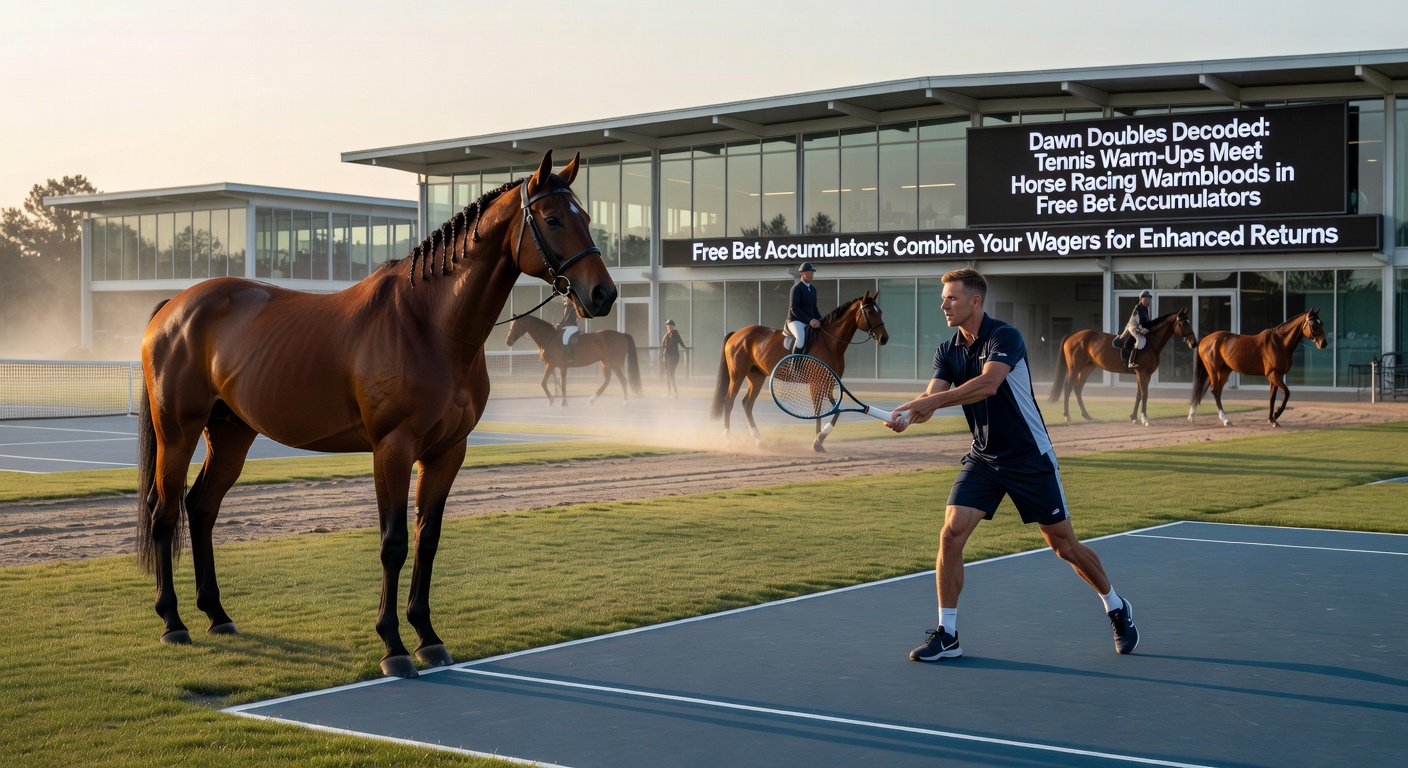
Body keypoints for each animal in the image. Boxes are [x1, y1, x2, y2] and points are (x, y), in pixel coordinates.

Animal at [135, 151, 615, 679]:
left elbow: (427, 539)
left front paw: (428, 637)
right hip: (177, 432)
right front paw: (394, 646)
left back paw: (217, 615)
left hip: (230, 435)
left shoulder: (448, 452)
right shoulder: (393, 448)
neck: (431, 325)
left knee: (201, 508)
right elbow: (393, 542)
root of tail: (174, 307)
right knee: (163, 512)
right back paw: (173, 622)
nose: (602, 294)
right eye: (552, 219)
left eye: (585, 216)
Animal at [505, 314, 642, 405]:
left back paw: (618, 401)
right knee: (612, 380)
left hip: (612, 363)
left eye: (515, 325)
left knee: (618, 380)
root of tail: (621, 334)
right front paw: (561, 401)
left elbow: (545, 382)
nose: (508, 341)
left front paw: (555, 400)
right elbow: (559, 383)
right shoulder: (558, 366)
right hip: (606, 363)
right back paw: (599, 400)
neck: (549, 337)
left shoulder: (552, 364)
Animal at [710, 291, 888, 453]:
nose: (884, 338)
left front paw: (821, 438)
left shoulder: (830, 382)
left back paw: (759, 441)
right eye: (870, 312)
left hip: (756, 377)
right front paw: (817, 441)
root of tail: (737, 334)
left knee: (747, 404)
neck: (830, 343)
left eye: (880, 311)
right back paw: (728, 440)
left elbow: (835, 412)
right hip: (737, 376)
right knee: (729, 402)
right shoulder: (816, 384)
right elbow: (818, 411)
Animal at [1048, 308, 1197, 425]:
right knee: (1068, 387)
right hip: (1074, 368)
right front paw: (1145, 418)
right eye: (1183, 323)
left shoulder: (1145, 374)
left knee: (1078, 388)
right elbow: (1144, 394)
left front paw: (1134, 417)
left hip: (1087, 368)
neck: (1150, 342)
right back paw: (1067, 415)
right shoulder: (1142, 372)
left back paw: (1086, 415)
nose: (1194, 343)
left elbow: (1139, 394)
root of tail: (1073, 335)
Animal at [1188, 308, 1326, 427]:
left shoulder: (1277, 376)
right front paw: (1277, 413)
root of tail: (1205, 339)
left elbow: (1272, 397)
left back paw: (1193, 415)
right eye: (1313, 324)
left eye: (1321, 322)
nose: (1324, 343)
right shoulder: (1273, 374)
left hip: (1223, 371)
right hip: (1213, 370)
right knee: (1215, 390)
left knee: (1210, 390)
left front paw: (1272, 419)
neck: (1279, 343)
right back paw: (1225, 419)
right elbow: (1286, 393)